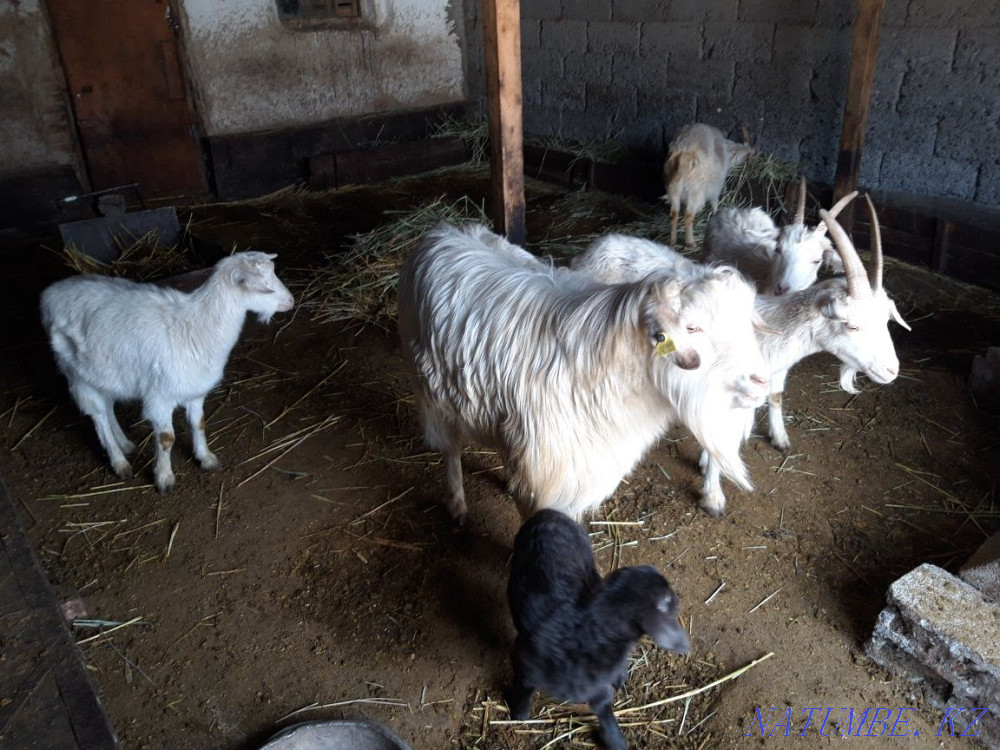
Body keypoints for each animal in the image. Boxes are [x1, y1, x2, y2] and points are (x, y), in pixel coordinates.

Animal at [40, 252, 294, 492]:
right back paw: (119, 462)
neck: (196, 327)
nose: (291, 301)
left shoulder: (194, 390)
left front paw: (206, 458)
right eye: (264, 282)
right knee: (98, 415)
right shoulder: (160, 396)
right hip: (77, 374)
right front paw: (164, 477)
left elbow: (199, 424)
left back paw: (125, 444)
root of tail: (49, 294)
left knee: (108, 407)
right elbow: (166, 439)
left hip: (105, 373)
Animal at [397, 223, 769, 523]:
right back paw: (457, 503)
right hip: (432, 392)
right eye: (692, 327)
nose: (761, 381)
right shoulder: (548, 471)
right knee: (451, 449)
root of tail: (441, 232)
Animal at [507, 508, 690, 750]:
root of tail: (550, 513)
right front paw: (519, 714)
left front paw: (615, 740)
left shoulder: (596, 689)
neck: (587, 635)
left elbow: (603, 708)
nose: (678, 600)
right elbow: (524, 689)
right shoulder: (524, 660)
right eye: (667, 600)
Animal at [575, 196, 910, 514]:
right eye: (852, 325)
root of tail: (599, 245)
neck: (769, 329)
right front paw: (712, 498)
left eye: (886, 320)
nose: (892, 371)